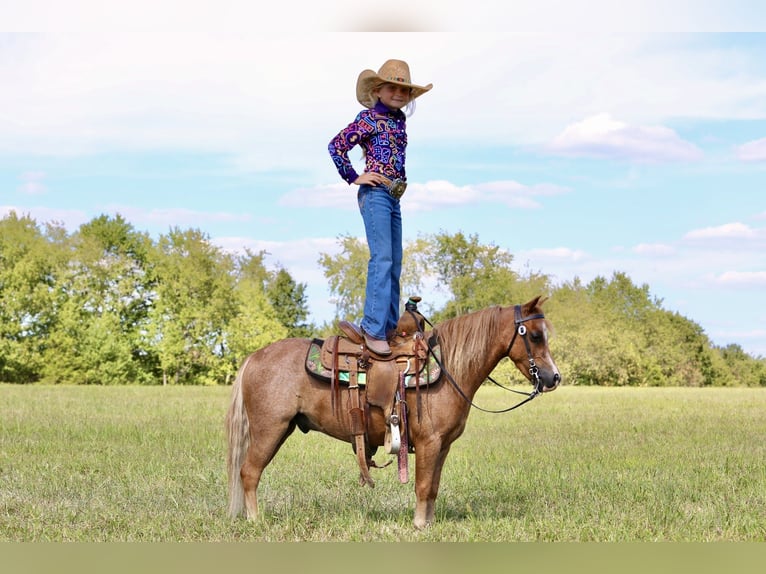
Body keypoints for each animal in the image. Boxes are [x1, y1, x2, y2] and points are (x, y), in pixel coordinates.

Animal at [225, 295, 561, 529]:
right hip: (270, 430)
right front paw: (419, 525)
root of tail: (254, 357)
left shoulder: (443, 446)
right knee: (249, 472)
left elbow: (433, 487)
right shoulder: (429, 443)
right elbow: (423, 485)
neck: (448, 368)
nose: (553, 378)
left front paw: (429, 523)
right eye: (534, 335)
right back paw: (255, 520)